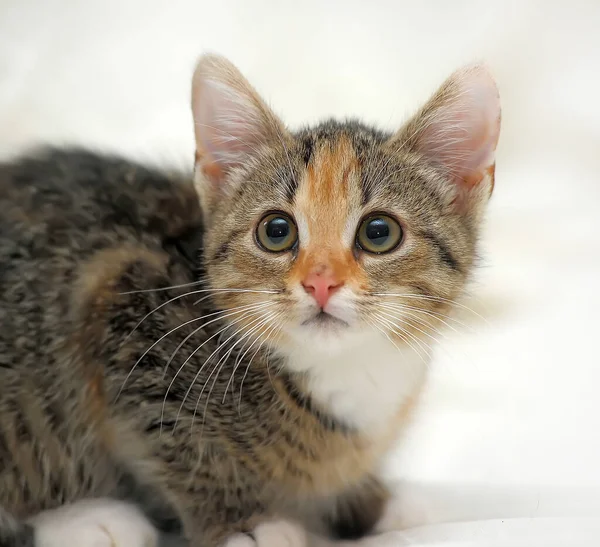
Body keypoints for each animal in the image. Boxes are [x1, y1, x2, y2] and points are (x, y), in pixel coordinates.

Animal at [0, 52, 500, 547]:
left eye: (379, 233)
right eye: (276, 231)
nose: (321, 283)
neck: (343, 369)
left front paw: (374, 502)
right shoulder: (124, 305)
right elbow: (180, 442)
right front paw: (241, 522)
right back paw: (88, 519)